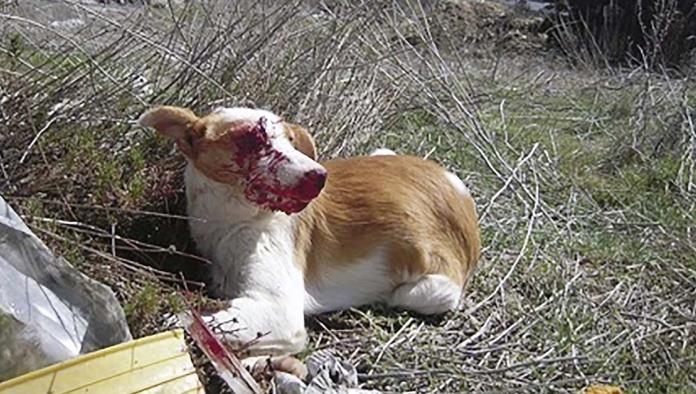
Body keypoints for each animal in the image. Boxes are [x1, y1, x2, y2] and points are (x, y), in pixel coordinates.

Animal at [139, 104, 482, 360]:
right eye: (252, 138)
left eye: (291, 140)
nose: (319, 177)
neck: (232, 222)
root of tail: (459, 193)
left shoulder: (279, 311)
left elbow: (184, 319)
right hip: (383, 152)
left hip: (426, 290)